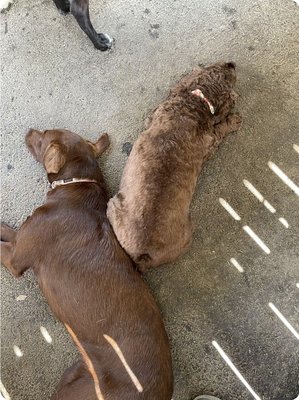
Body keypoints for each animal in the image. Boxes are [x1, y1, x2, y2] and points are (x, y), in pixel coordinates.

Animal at [0, 130, 173, 398]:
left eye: (43, 136)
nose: (29, 131)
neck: (76, 184)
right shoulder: (20, 239)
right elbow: (8, 229)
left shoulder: (14, 259)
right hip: (72, 373)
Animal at [108, 61, 244, 272]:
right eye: (227, 76)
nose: (232, 63)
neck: (195, 104)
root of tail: (142, 255)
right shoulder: (211, 142)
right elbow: (221, 128)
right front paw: (233, 119)